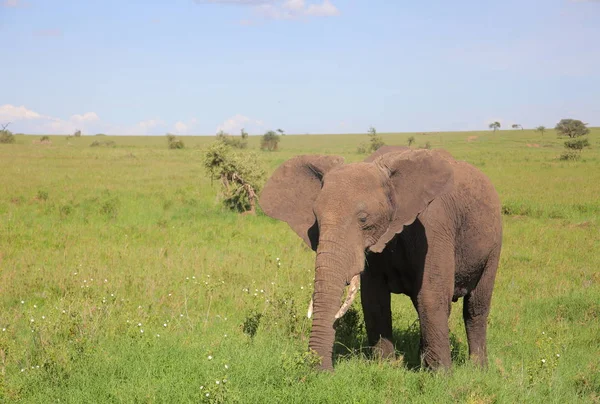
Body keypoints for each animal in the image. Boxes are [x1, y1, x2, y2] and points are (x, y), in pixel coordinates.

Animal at [258, 147, 502, 370]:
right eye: (316, 219)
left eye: (363, 219)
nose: (322, 372)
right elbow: (374, 299)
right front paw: (385, 368)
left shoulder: (435, 226)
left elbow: (432, 295)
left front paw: (440, 377)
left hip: (494, 245)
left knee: (475, 308)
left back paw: (478, 369)